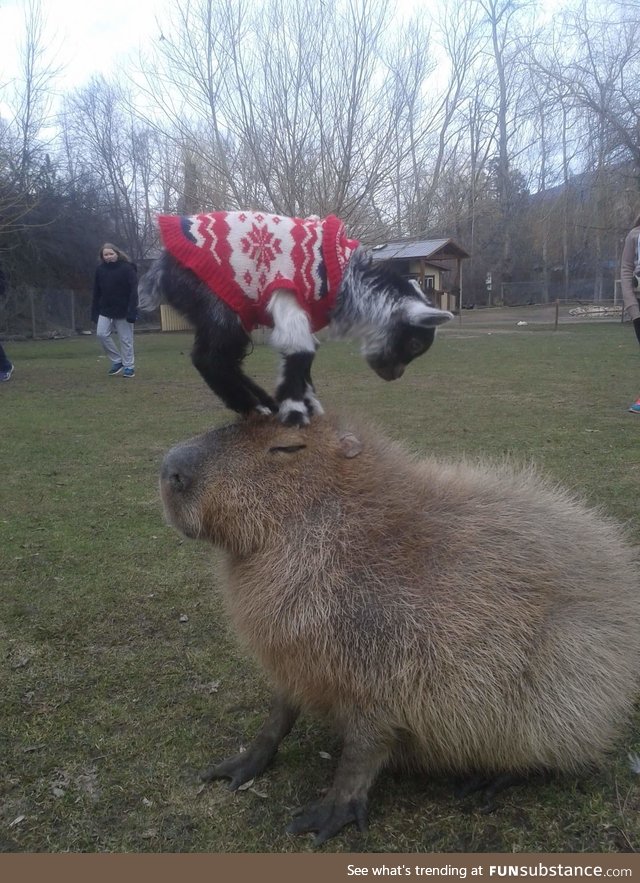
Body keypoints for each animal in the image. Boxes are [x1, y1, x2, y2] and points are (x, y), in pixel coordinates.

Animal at [139, 211, 456, 424]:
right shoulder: (288, 295)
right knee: (208, 358)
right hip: (217, 302)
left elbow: (307, 351)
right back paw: (253, 407)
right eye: (414, 344)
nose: (395, 376)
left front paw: (307, 403)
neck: (347, 278)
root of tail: (162, 266)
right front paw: (295, 411)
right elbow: (299, 348)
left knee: (230, 360)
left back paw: (264, 401)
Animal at [159, 416, 640, 848]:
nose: (170, 468)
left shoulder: (390, 664)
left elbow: (363, 748)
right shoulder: (293, 660)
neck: (345, 527)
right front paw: (239, 765)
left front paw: (328, 815)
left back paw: (489, 777)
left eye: (286, 447)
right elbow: (279, 714)